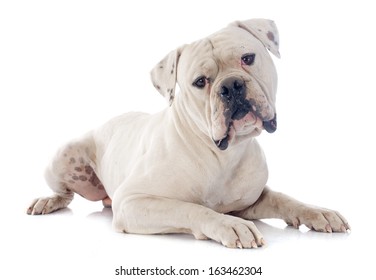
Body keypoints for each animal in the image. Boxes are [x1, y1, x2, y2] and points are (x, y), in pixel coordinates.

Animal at [27, 18, 350, 248]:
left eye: (248, 58)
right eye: (200, 81)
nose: (231, 85)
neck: (222, 156)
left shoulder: (251, 200)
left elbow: (285, 199)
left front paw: (316, 212)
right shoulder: (133, 202)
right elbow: (191, 209)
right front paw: (229, 226)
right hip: (64, 157)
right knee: (64, 193)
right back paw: (47, 201)